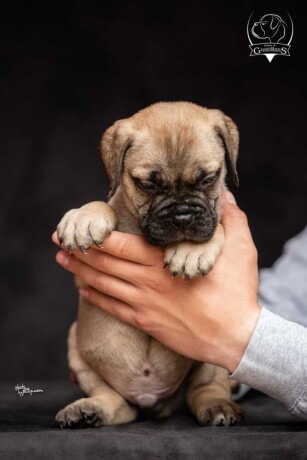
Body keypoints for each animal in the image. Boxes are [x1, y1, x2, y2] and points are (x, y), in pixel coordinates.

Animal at [54, 100, 243, 428]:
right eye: (147, 185)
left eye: (208, 179)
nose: (182, 215)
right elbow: (104, 203)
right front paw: (83, 218)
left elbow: (217, 224)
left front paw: (191, 250)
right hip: (77, 347)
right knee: (115, 401)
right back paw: (88, 410)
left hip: (213, 356)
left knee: (205, 389)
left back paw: (217, 405)